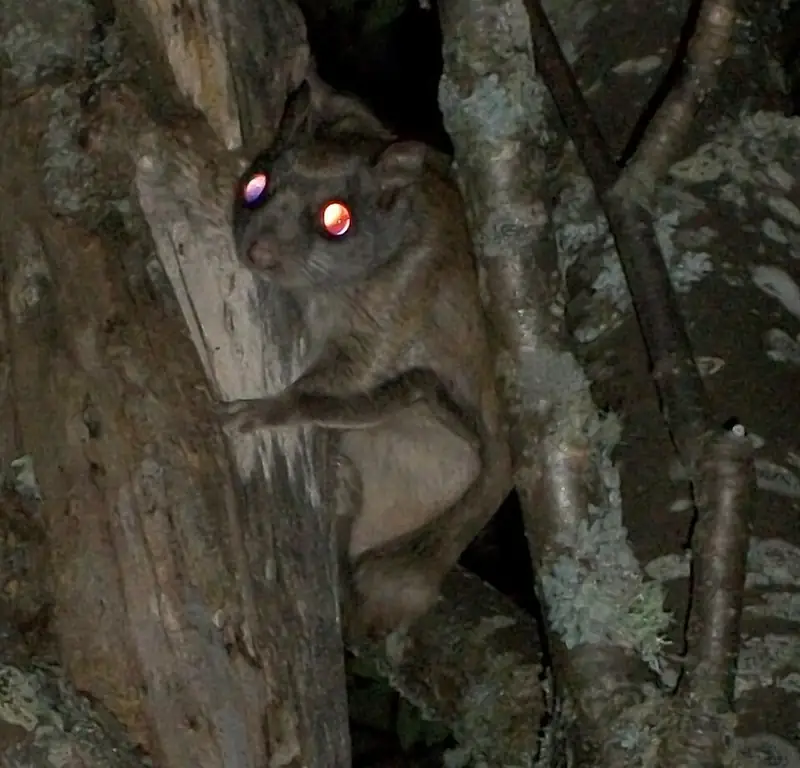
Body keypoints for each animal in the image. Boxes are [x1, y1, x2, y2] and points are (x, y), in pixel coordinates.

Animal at [218, 74, 512, 636]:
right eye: (255, 186)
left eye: (337, 220)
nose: (258, 253)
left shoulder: (401, 298)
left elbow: (331, 385)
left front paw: (265, 410)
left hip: (442, 438)